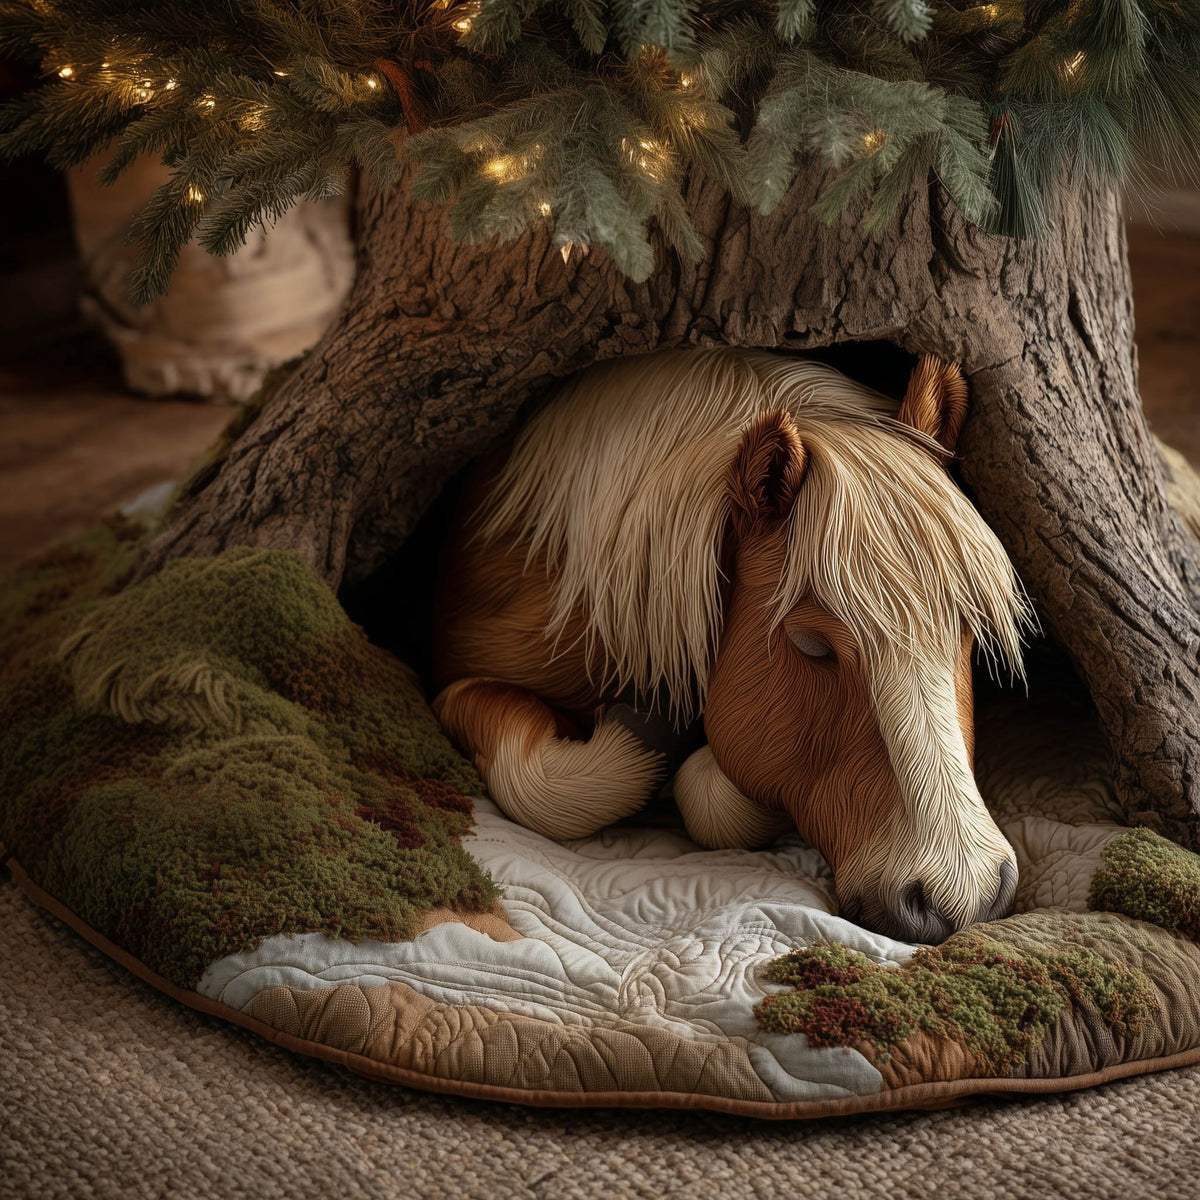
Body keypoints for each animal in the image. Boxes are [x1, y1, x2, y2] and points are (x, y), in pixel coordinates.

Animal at [431, 348, 1033, 943]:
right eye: (811, 644)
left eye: (969, 625)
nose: (966, 893)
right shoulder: (458, 686)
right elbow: (542, 790)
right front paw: (649, 729)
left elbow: (715, 797)